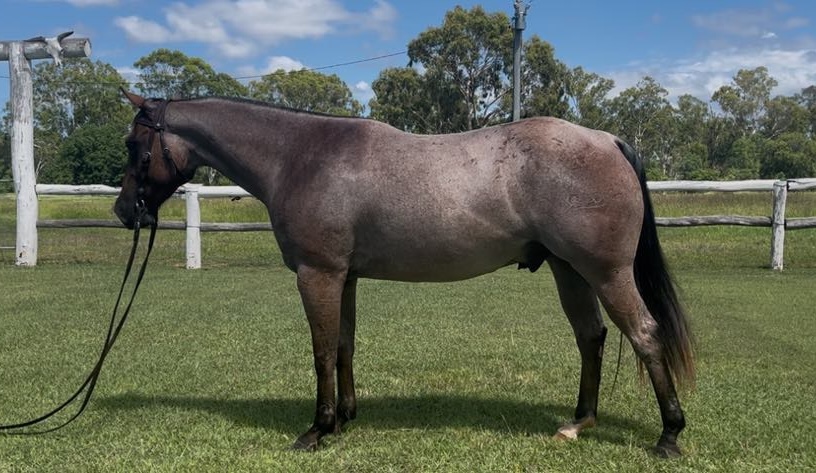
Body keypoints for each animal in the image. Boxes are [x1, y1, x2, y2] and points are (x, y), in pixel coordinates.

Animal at [114, 89, 694, 457]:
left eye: (134, 145)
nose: (124, 212)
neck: (300, 156)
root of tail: (606, 139)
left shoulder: (317, 274)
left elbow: (321, 350)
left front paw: (316, 430)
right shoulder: (344, 277)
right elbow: (343, 345)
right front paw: (345, 419)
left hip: (606, 272)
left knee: (644, 334)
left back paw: (669, 436)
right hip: (568, 270)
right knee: (591, 336)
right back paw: (579, 422)